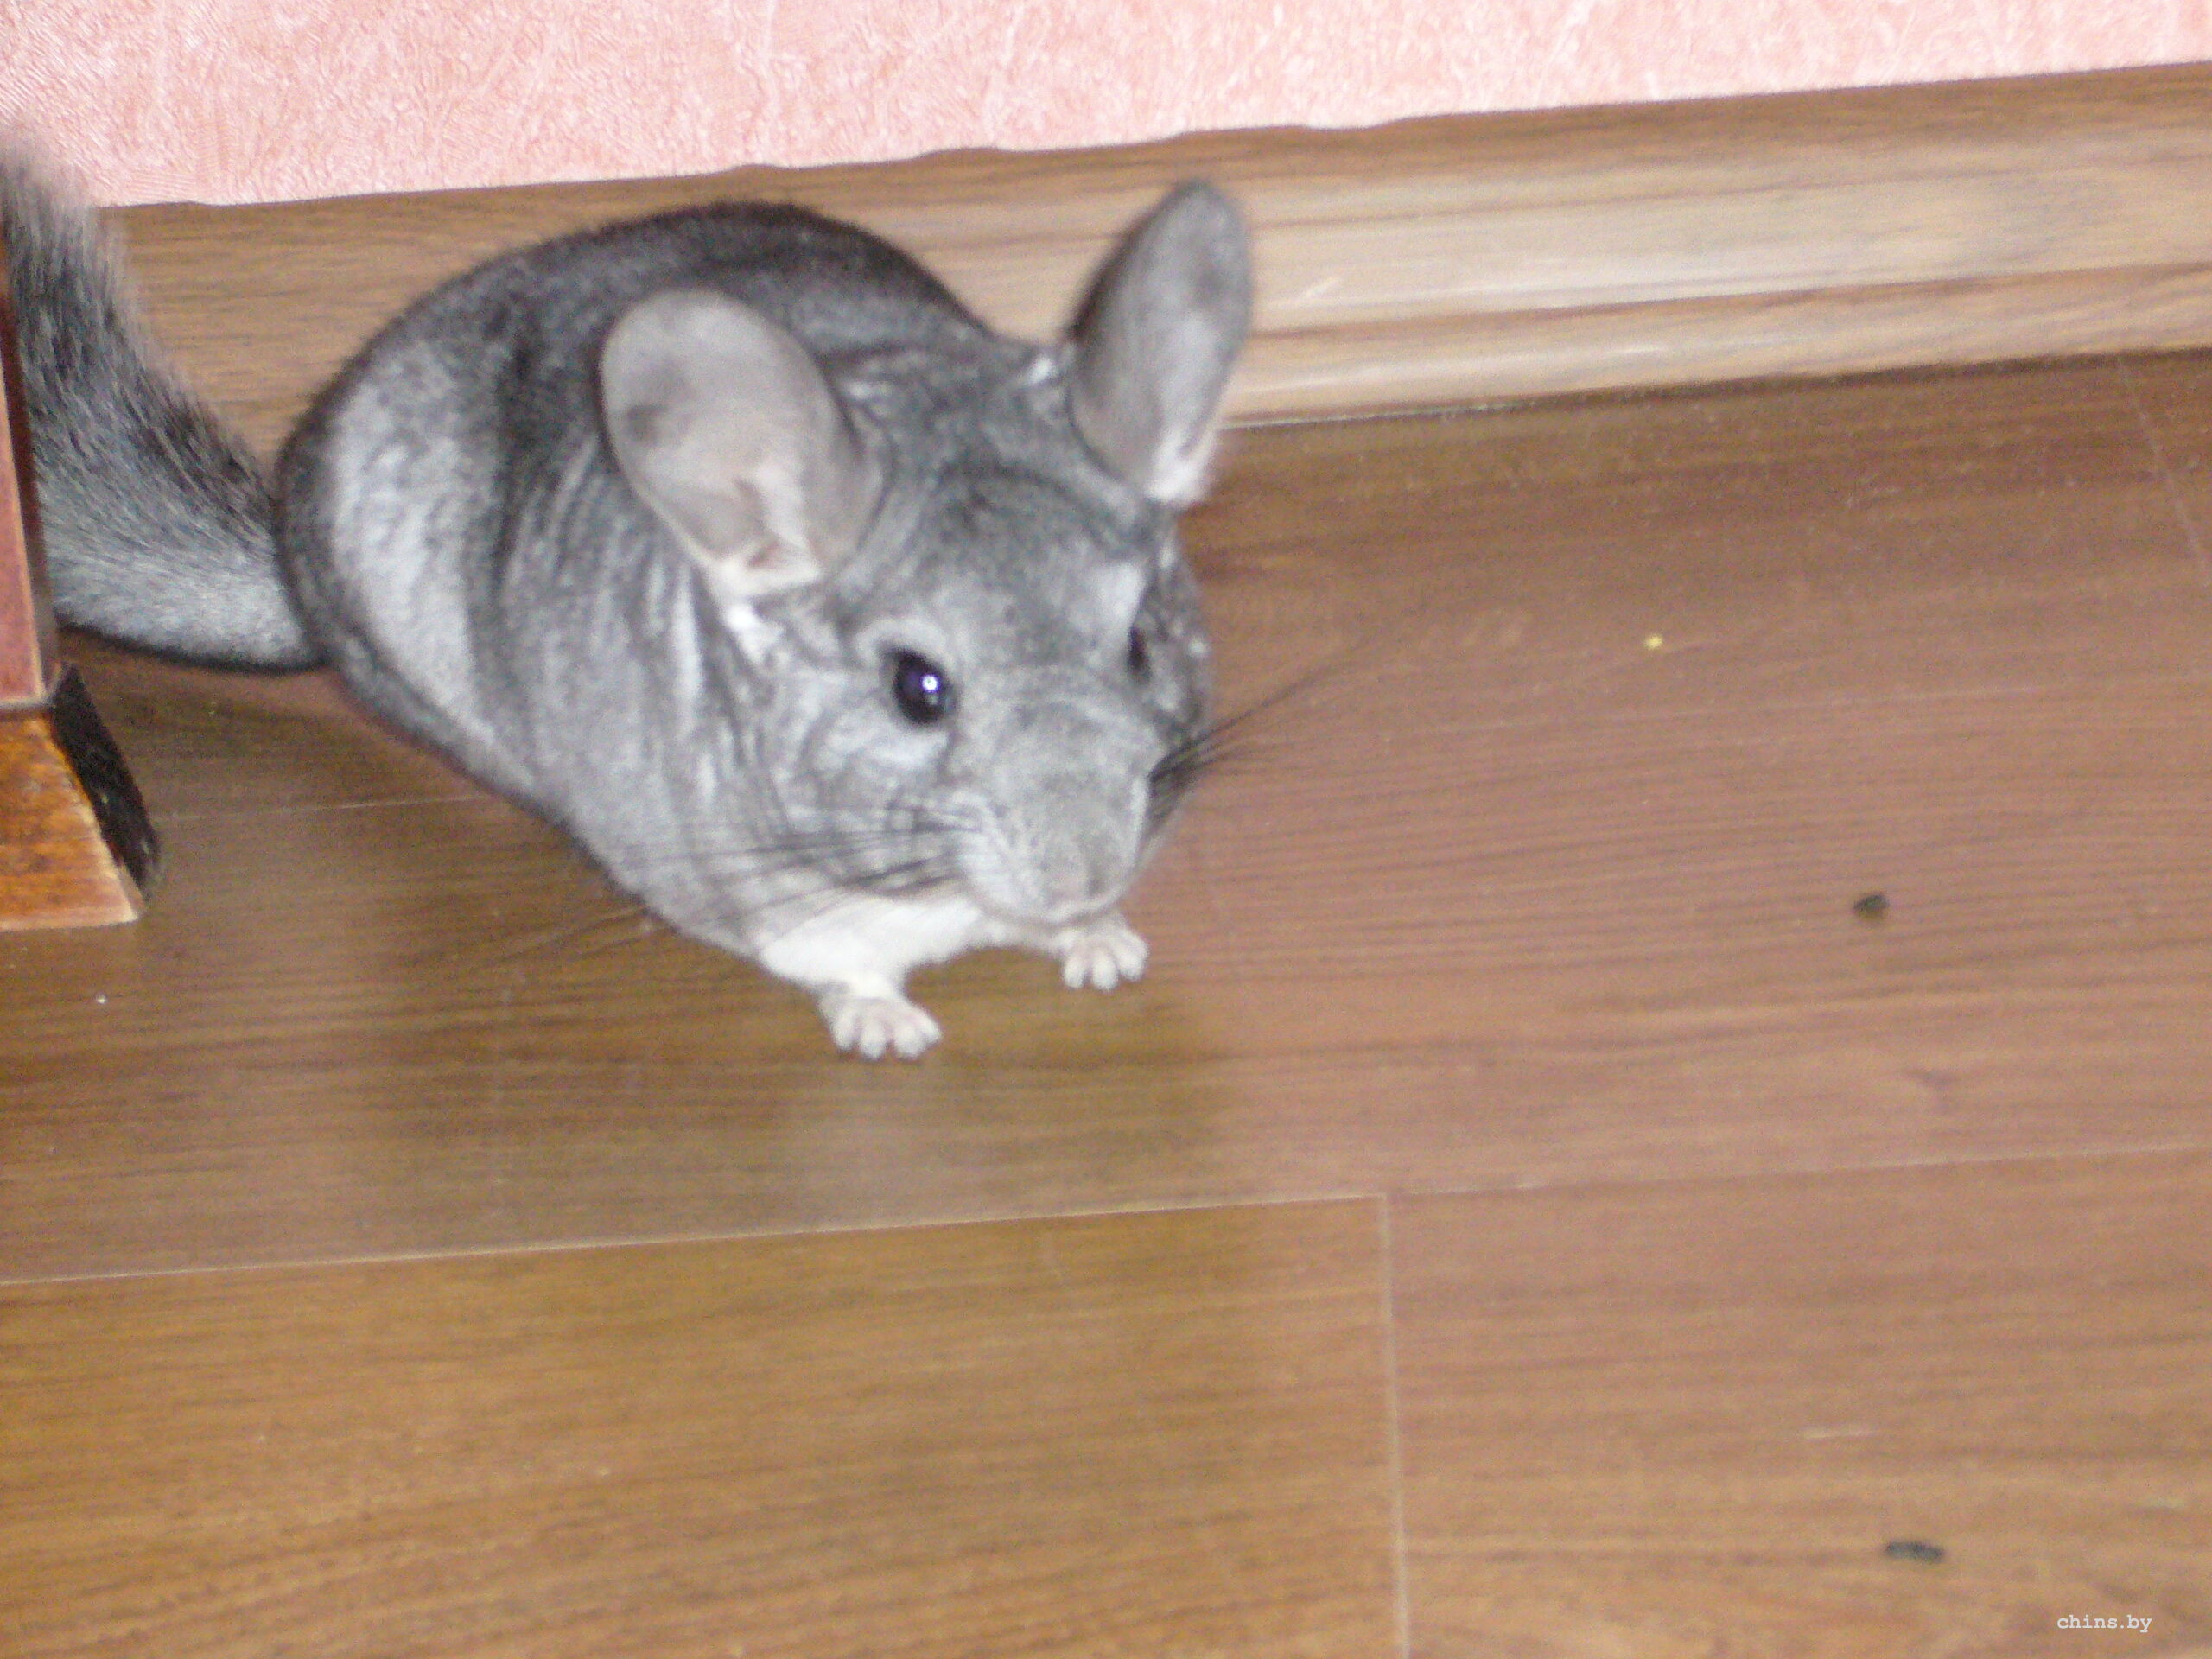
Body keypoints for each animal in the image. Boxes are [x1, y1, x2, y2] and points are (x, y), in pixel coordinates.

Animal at [1, 153, 1252, 1058]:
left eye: (1139, 644)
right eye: (918, 688)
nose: (1085, 869)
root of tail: (287, 551)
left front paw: (1102, 944)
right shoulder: (746, 886)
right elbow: (833, 957)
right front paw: (887, 1026)